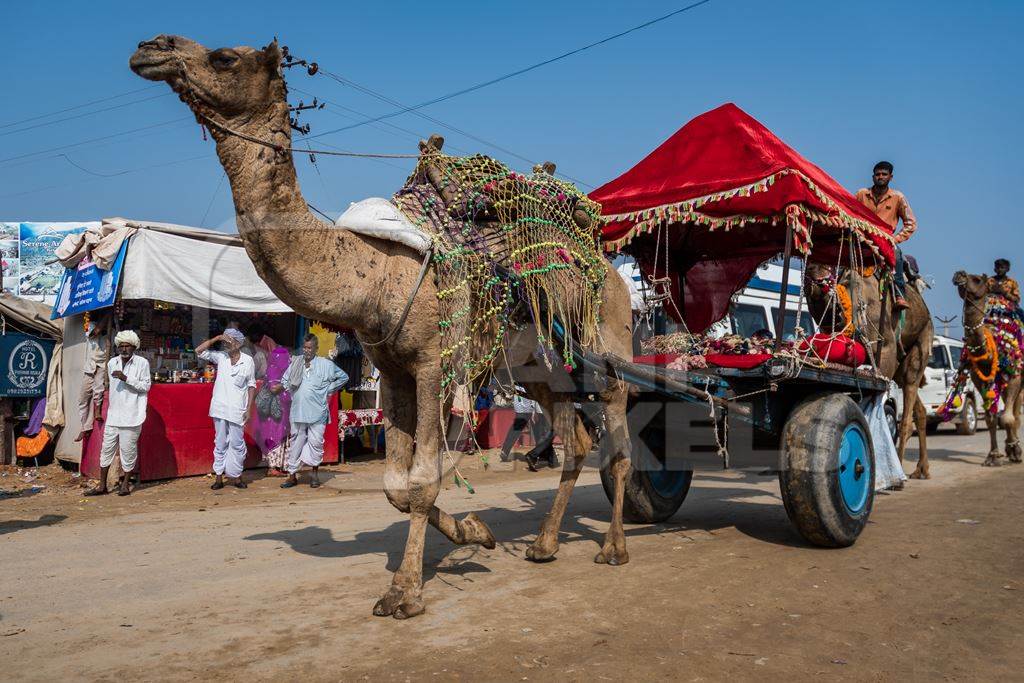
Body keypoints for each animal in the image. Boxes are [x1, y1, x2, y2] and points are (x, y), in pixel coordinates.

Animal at [130, 33, 638, 618]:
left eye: (224, 58)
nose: (149, 47)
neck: (372, 272)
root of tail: (610, 268)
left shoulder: (435, 365)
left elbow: (421, 481)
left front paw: (405, 592)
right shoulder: (393, 370)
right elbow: (397, 485)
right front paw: (476, 532)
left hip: (608, 341)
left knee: (617, 435)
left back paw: (614, 547)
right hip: (542, 367)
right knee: (574, 438)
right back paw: (545, 543)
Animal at [806, 262, 937, 481]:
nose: (813, 270)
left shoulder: (886, 347)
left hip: (922, 338)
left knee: (909, 398)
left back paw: (901, 469)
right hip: (901, 364)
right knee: (917, 405)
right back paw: (922, 469)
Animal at [946, 270, 1019, 466]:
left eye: (977, 279)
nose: (959, 274)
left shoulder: (1015, 376)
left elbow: (1007, 418)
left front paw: (1014, 450)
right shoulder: (979, 378)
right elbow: (990, 418)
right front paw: (994, 455)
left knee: (1015, 412)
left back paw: (1015, 449)